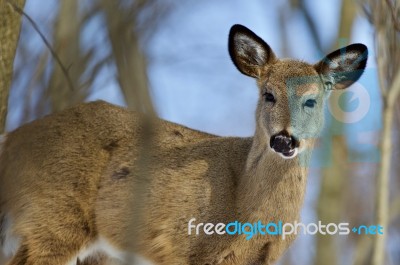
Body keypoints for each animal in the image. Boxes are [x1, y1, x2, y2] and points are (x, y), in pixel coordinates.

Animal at [0, 23, 368, 262]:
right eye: (268, 94)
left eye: (312, 100)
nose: (283, 139)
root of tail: (12, 139)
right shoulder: (184, 242)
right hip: (54, 219)